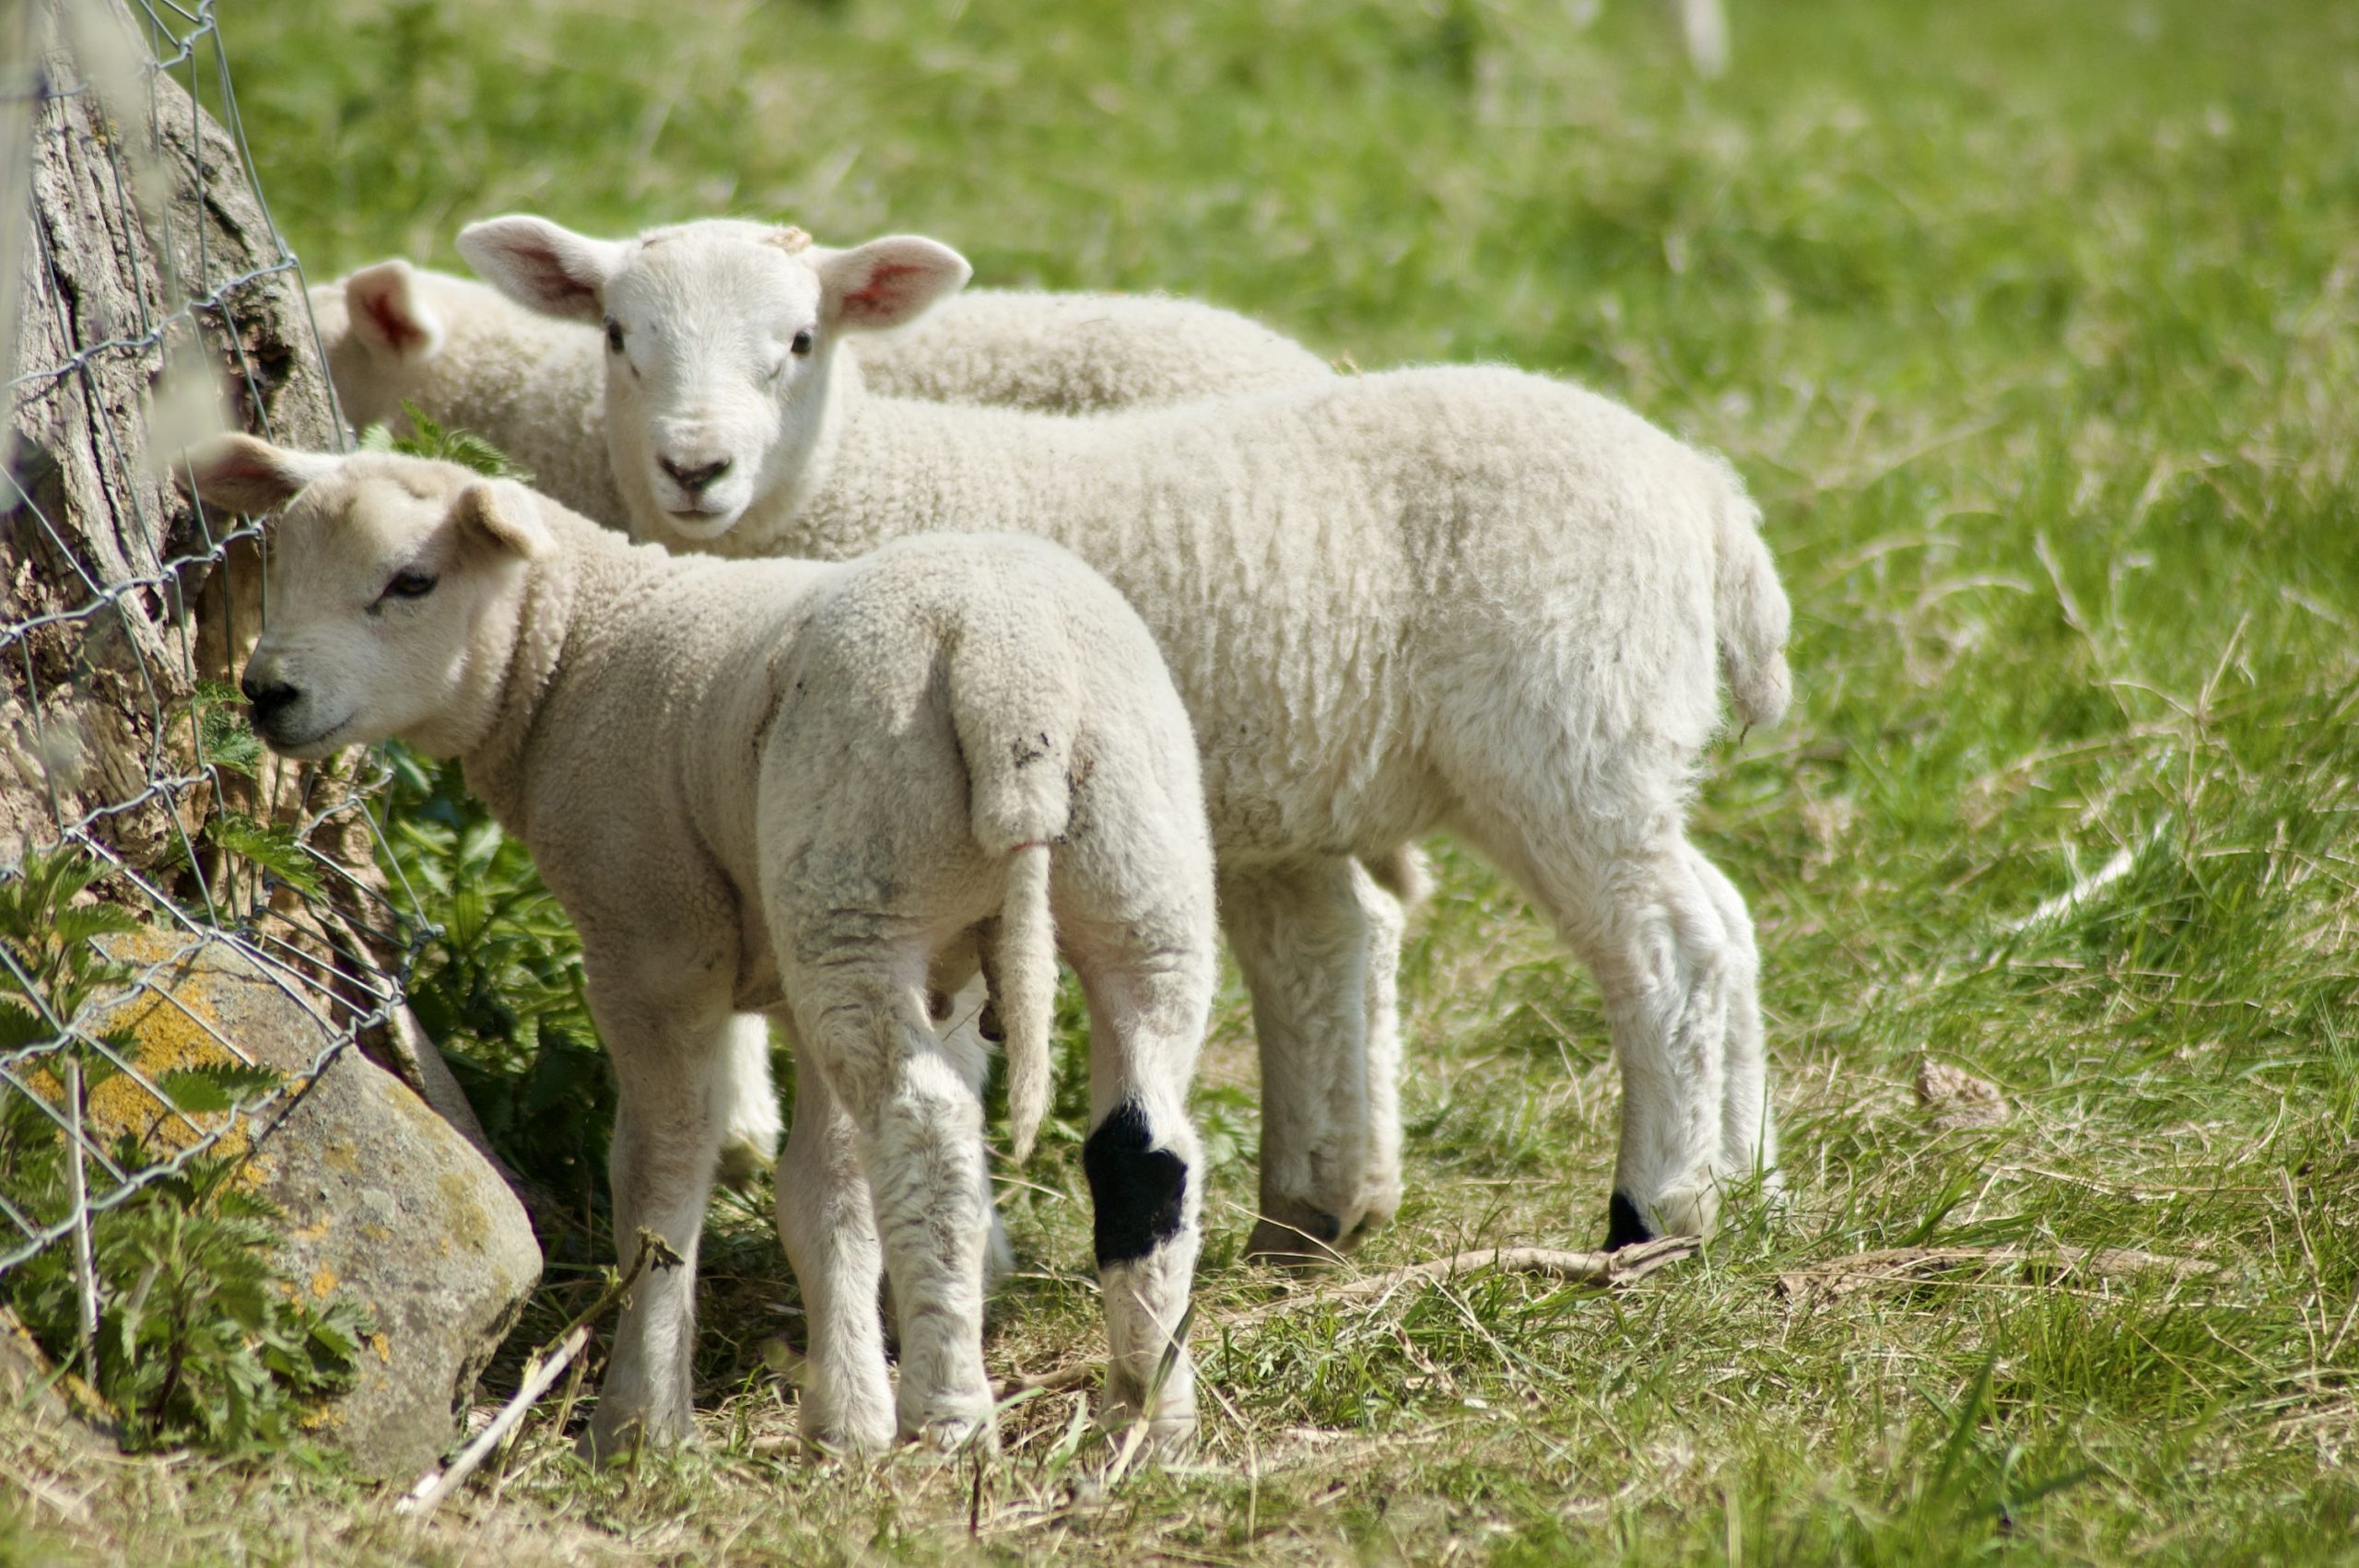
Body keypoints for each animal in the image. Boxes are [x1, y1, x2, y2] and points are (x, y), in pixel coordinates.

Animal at [183, 435, 1217, 1456]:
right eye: (280, 562)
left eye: (411, 581)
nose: (267, 692)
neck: (574, 649)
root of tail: (1013, 675)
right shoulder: (814, 976)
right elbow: (828, 1198)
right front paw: (845, 1419)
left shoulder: (652, 939)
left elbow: (662, 1171)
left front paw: (641, 1424)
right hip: (1136, 881)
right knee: (1146, 1144)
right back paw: (1147, 1418)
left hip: (862, 884)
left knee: (927, 1133)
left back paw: (951, 1418)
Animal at [457, 215, 1796, 1255]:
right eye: (618, 337)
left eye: (798, 342)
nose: (697, 468)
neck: (867, 482)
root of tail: (1710, 501)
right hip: (1614, 742)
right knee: (1723, 921)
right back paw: (1745, 1184)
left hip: (1561, 730)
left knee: (1666, 949)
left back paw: (1656, 1208)